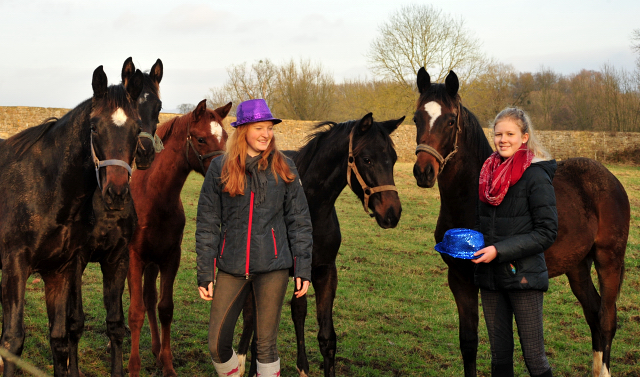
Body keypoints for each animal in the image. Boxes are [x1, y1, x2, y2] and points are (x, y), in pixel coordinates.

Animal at [0, 63, 144, 374]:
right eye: (94, 127)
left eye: (137, 128)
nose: (116, 194)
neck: (46, 188)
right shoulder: (15, 266)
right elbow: (13, 341)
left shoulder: (60, 270)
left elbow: (59, 338)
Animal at [126, 99, 231, 376]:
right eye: (201, 139)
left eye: (226, 137)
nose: (225, 177)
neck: (154, 197)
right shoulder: (134, 258)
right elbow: (135, 312)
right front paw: (133, 367)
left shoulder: (170, 257)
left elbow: (164, 308)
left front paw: (167, 364)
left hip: (152, 263)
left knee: (149, 298)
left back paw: (154, 348)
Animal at [238, 113, 402, 376]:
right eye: (367, 159)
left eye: (394, 159)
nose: (392, 213)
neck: (312, 206)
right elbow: (267, 324)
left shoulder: (324, 271)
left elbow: (326, 336)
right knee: (251, 313)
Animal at [410, 69, 632, 374]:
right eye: (416, 118)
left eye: (451, 120)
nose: (423, 172)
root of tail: (610, 180)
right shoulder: (459, 279)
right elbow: (468, 343)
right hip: (577, 266)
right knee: (593, 313)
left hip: (608, 259)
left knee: (607, 319)